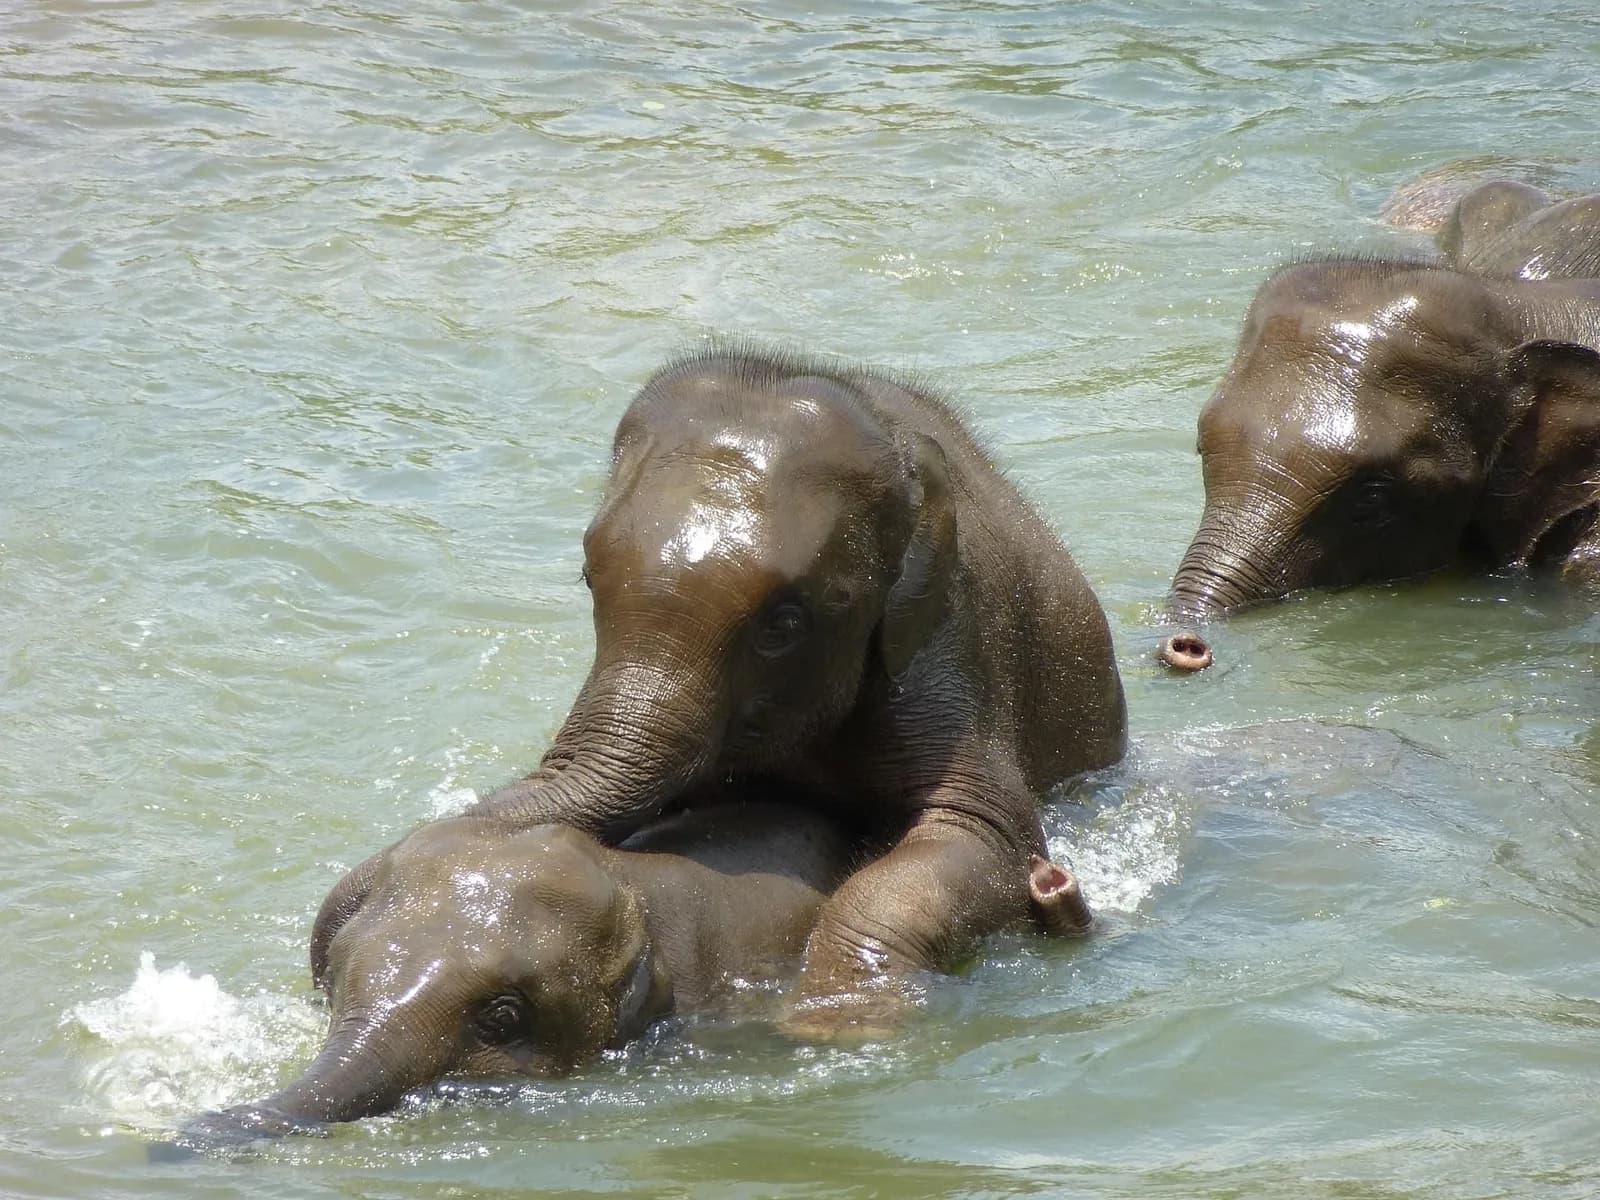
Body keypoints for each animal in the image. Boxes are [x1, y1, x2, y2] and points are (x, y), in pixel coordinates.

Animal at [315, 346, 1126, 1032]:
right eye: (588, 580)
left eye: (785, 622)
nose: (335, 940)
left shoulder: (951, 646)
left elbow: (981, 838)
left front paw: (833, 1022)